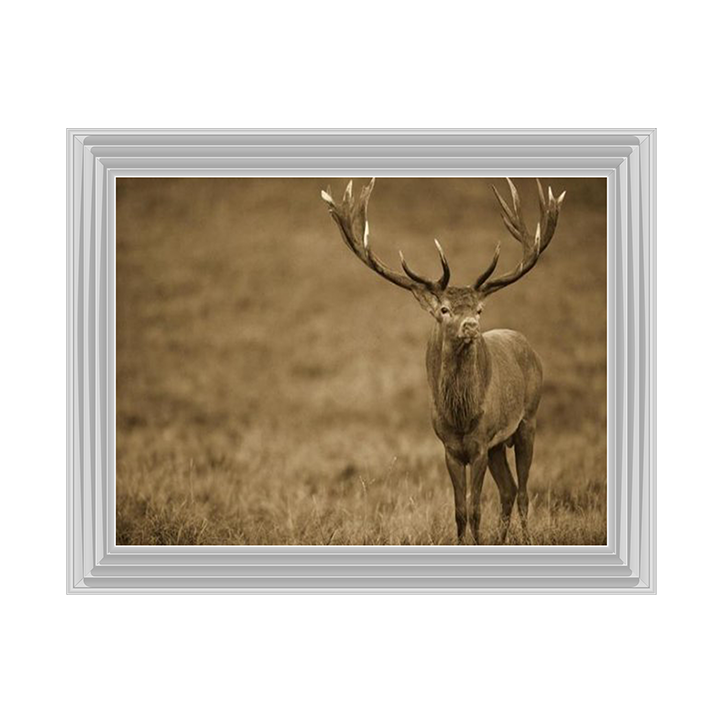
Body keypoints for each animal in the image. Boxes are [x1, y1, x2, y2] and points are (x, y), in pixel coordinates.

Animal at [321, 178, 565, 544]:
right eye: (445, 309)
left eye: (479, 308)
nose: (471, 326)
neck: (461, 416)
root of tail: (528, 346)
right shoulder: (450, 448)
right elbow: (460, 510)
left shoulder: (479, 444)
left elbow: (476, 509)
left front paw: (478, 542)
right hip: (499, 444)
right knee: (508, 490)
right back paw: (503, 539)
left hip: (528, 420)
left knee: (522, 492)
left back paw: (526, 538)